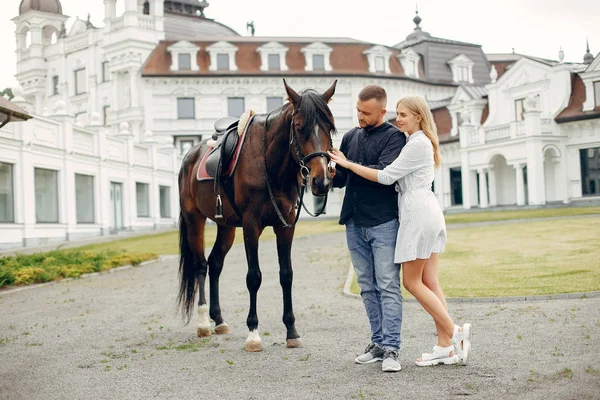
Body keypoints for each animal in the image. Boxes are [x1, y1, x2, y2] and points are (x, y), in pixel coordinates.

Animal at [177, 79, 338, 352]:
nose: (321, 181)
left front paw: (291, 331)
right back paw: (203, 323)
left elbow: (286, 275)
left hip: (226, 227)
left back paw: (219, 320)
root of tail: (189, 156)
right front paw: (253, 333)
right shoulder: (252, 226)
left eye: (329, 128)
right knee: (200, 266)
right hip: (194, 220)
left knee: (215, 264)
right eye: (299, 127)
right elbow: (254, 277)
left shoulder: (286, 226)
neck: (270, 166)